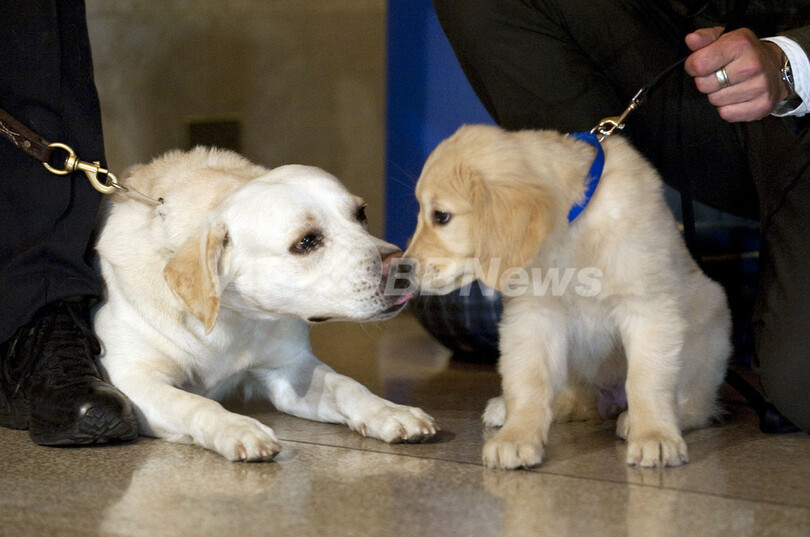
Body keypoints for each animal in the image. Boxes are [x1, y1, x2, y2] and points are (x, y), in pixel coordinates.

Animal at [93, 147, 436, 460]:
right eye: (306, 241)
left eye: (361, 213)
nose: (403, 266)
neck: (232, 318)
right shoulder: (133, 378)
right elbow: (193, 402)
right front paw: (235, 427)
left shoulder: (289, 367)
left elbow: (346, 385)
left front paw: (389, 411)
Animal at [408, 125, 728, 468]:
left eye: (441, 216)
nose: (404, 267)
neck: (570, 230)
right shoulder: (532, 314)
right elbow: (528, 379)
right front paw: (516, 436)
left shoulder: (647, 305)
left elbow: (647, 378)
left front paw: (655, 435)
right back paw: (506, 408)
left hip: (708, 324)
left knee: (695, 403)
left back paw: (644, 420)